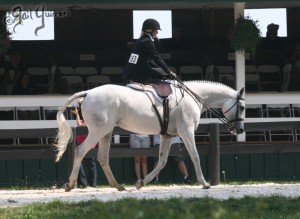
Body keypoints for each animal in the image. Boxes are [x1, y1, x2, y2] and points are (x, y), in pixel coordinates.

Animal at [55, 80, 245, 192]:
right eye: (242, 108)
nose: (240, 130)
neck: (193, 98)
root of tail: (88, 92)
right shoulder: (187, 132)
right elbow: (195, 156)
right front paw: (204, 183)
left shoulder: (167, 136)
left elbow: (162, 161)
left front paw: (142, 182)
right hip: (98, 131)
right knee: (80, 151)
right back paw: (70, 184)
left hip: (106, 132)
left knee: (102, 157)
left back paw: (118, 186)